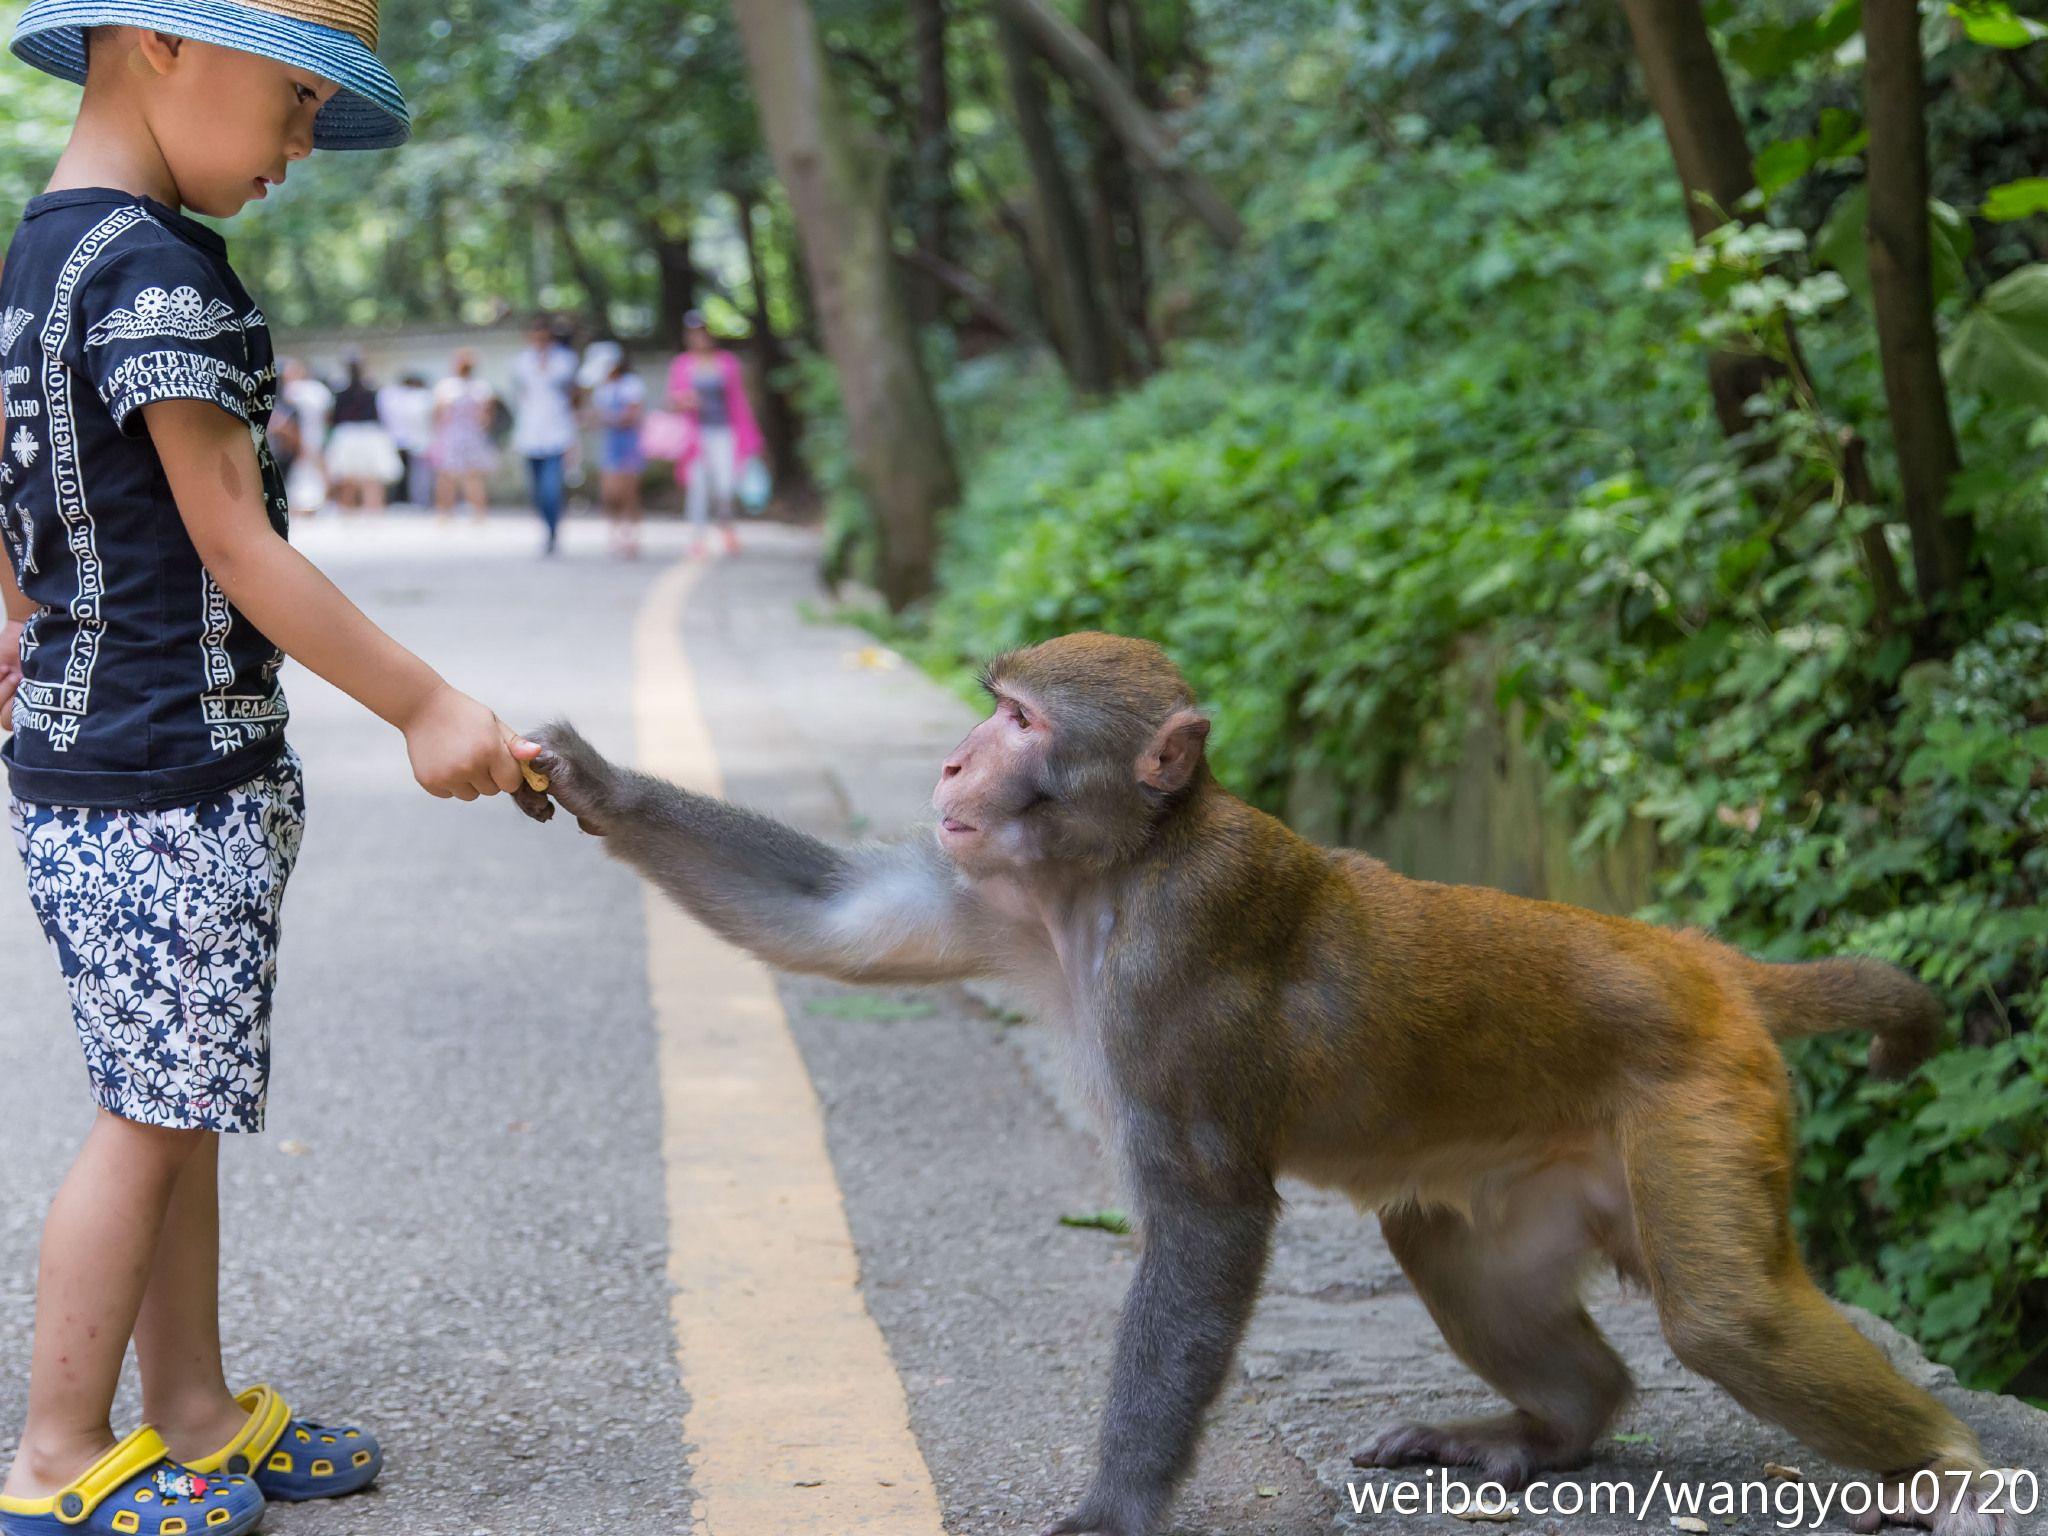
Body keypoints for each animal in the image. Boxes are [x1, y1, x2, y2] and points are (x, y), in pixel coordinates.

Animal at [520, 634, 2007, 1536]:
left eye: (1018, 721)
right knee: (1448, 1244)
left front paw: (1116, 1504)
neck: (1113, 873)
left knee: (1726, 1319)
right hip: (1543, 1160)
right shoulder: (997, 895)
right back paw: (1550, 1429)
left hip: (1699, 1098)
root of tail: (1698, 957)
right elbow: (838, 917)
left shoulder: (1182, 965)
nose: (951, 758)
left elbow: (1209, 1214)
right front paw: (592, 779)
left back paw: (1949, 1472)